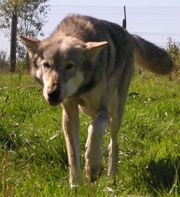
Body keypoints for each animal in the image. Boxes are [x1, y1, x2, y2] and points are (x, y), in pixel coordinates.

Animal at [20, 13, 174, 186]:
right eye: (46, 65)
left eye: (69, 66)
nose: (52, 93)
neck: (82, 88)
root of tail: (129, 35)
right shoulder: (69, 111)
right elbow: (73, 153)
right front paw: (75, 184)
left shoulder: (103, 109)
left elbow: (95, 131)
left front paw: (92, 167)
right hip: (89, 109)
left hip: (115, 113)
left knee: (113, 144)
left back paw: (110, 179)